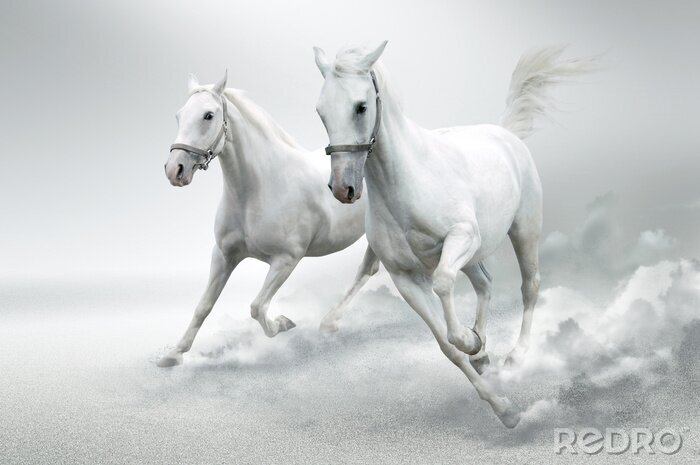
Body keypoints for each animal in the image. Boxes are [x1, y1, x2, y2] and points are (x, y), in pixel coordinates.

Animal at [158, 71, 380, 367]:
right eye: (179, 115)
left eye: (208, 115)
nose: (175, 170)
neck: (259, 189)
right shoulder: (224, 256)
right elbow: (203, 306)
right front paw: (174, 354)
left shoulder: (286, 259)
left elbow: (257, 307)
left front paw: (283, 323)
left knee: (367, 270)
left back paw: (329, 322)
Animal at [313, 42, 595, 427]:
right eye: (321, 112)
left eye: (361, 106)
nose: (343, 188)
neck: (408, 183)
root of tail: (504, 133)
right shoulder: (405, 277)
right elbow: (447, 347)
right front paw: (502, 405)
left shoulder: (461, 237)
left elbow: (445, 284)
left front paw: (469, 340)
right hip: (475, 256)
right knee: (486, 283)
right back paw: (484, 352)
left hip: (523, 230)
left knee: (530, 285)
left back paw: (516, 356)